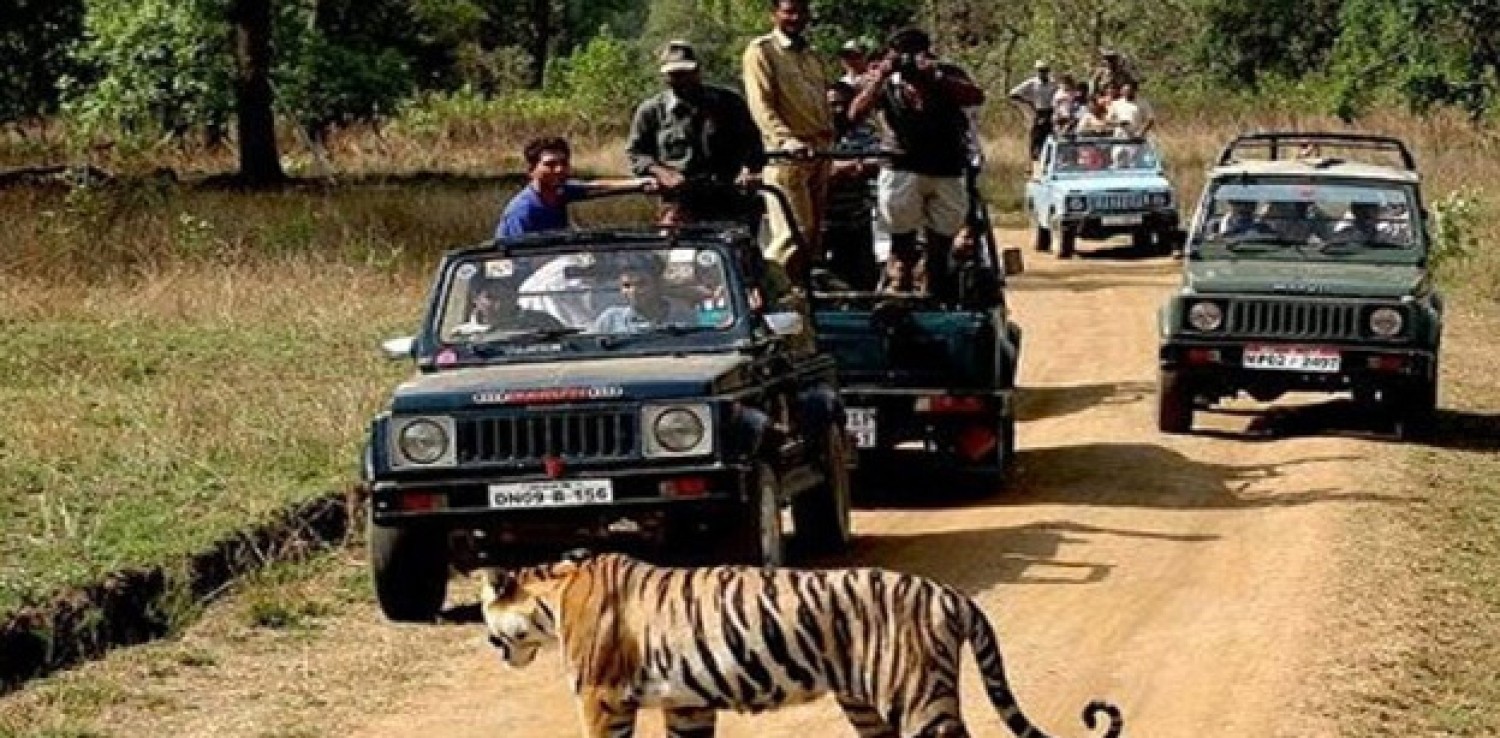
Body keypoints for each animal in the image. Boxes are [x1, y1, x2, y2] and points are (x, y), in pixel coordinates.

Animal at [480, 552, 1128, 735]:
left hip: (920, 696)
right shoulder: (685, 702)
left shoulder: (603, 697)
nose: (491, 644)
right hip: (865, 701)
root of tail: (948, 593)